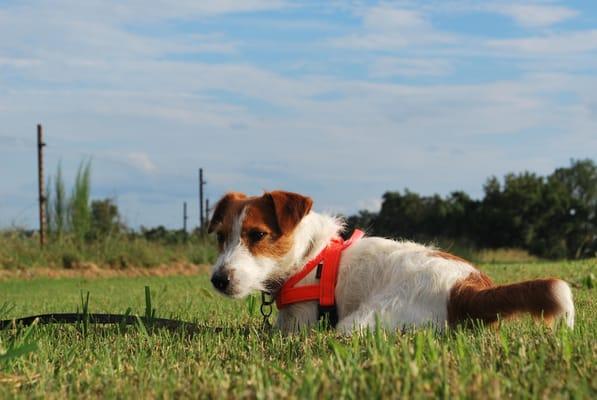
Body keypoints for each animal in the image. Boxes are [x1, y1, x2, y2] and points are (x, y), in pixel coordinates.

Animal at [208, 189, 572, 332]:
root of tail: (466, 287)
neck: (310, 256)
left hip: (360, 320)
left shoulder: (302, 321)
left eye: (257, 235)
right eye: (221, 236)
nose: (218, 280)